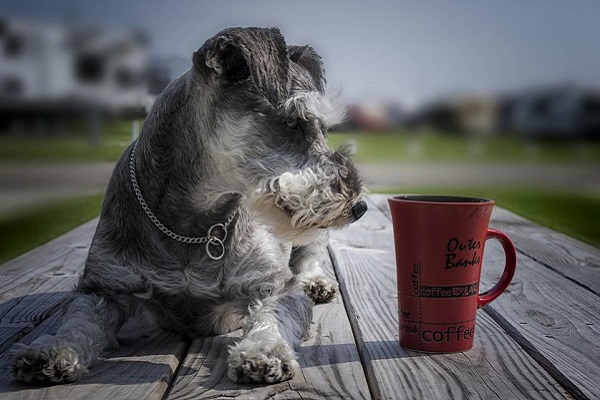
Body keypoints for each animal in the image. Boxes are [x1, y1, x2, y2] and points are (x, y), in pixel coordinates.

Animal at [9, 27, 366, 384]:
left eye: (324, 129)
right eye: (294, 122)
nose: (359, 207)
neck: (194, 221)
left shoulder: (277, 286)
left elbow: (274, 316)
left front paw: (264, 351)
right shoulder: (103, 287)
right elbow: (78, 320)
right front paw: (52, 350)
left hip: (313, 239)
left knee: (307, 259)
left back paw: (316, 282)